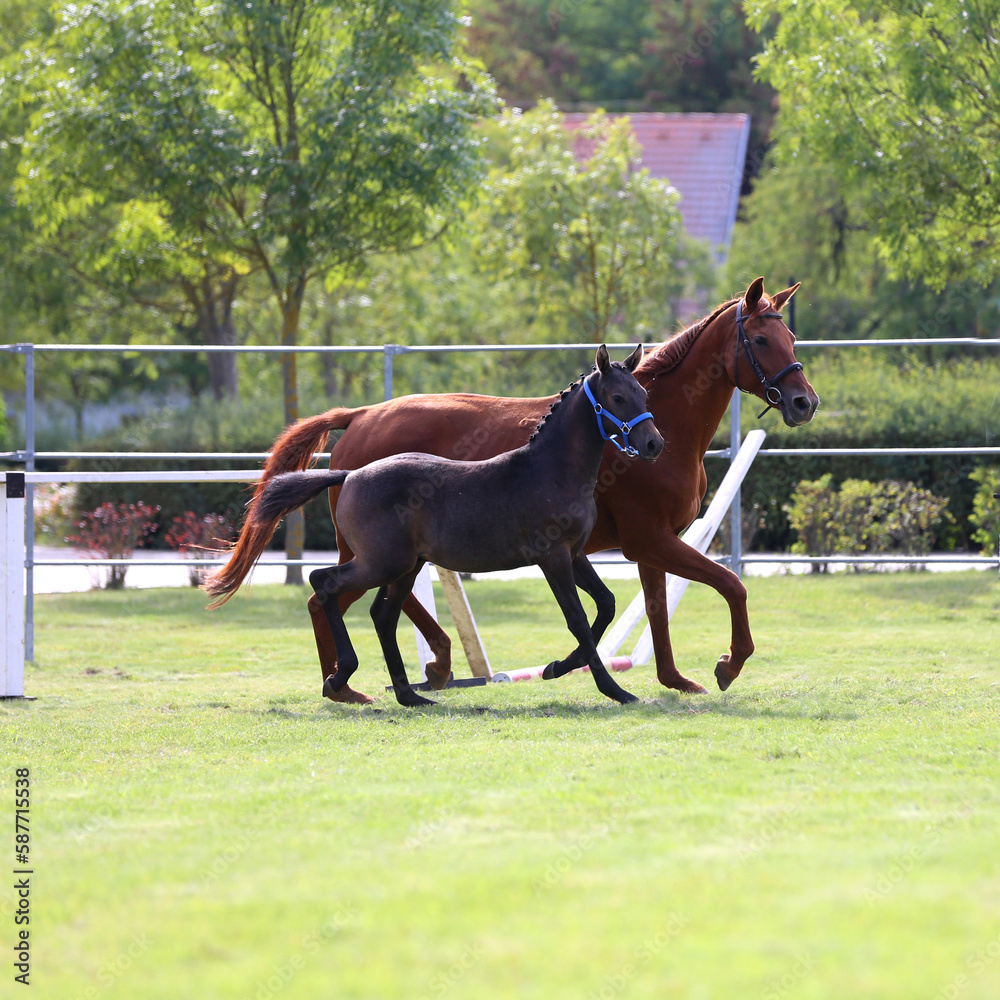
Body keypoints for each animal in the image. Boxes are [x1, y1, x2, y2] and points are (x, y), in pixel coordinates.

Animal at [205, 345, 664, 707]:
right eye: (617, 396)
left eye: (644, 392)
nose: (654, 444)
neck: (550, 470)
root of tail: (349, 475)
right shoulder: (552, 557)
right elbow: (578, 619)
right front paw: (615, 690)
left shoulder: (575, 553)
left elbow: (605, 605)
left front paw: (556, 667)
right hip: (383, 563)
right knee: (324, 583)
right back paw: (342, 678)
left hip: (406, 566)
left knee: (381, 615)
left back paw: (409, 695)